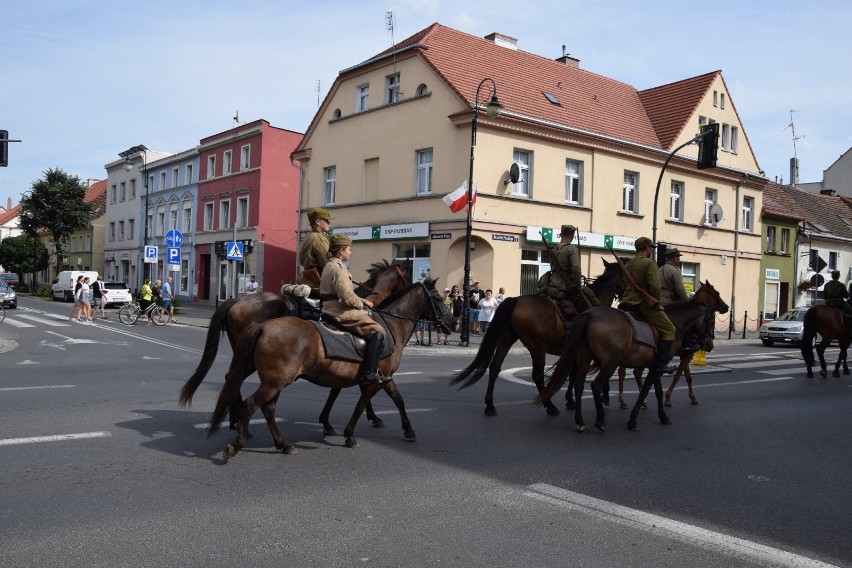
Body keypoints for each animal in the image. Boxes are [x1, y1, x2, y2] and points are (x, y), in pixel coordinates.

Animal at [178, 260, 412, 432]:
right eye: (407, 278)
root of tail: (236, 300)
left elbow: (347, 387)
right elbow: (358, 386)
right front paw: (370, 417)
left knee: (232, 377)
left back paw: (235, 419)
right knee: (234, 378)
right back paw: (236, 418)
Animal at [207, 278, 456, 460]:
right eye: (437, 297)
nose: (454, 322)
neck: (390, 327)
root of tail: (263, 327)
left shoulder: (383, 378)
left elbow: (398, 400)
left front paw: (407, 429)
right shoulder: (375, 380)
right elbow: (360, 405)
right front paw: (349, 434)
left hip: (271, 380)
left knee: (263, 405)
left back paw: (281, 443)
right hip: (274, 382)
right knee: (251, 404)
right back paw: (237, 440)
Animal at [450, 260, 624, 414]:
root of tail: (516, 300)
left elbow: (573, 374)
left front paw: (571, 399)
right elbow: (582, 373)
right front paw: (601, 396)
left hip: (506, 340)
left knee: (494, 367)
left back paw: (490, 405)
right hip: (537, 347)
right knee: (537, 375)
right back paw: (550, 406)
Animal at [532, 282, 724, 432]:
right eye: (711, 320)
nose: (709, 344)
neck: (673, 323)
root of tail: (589, 314)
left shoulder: (655, 366)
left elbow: (658, 391)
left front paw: (663, 416)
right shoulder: (658, 366)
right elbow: (647, 390)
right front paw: (633, 420)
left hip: (585, 360)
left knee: (579, 386)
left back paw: (580, 422)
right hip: (610, 363)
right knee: (595, 385)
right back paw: (600, 419)